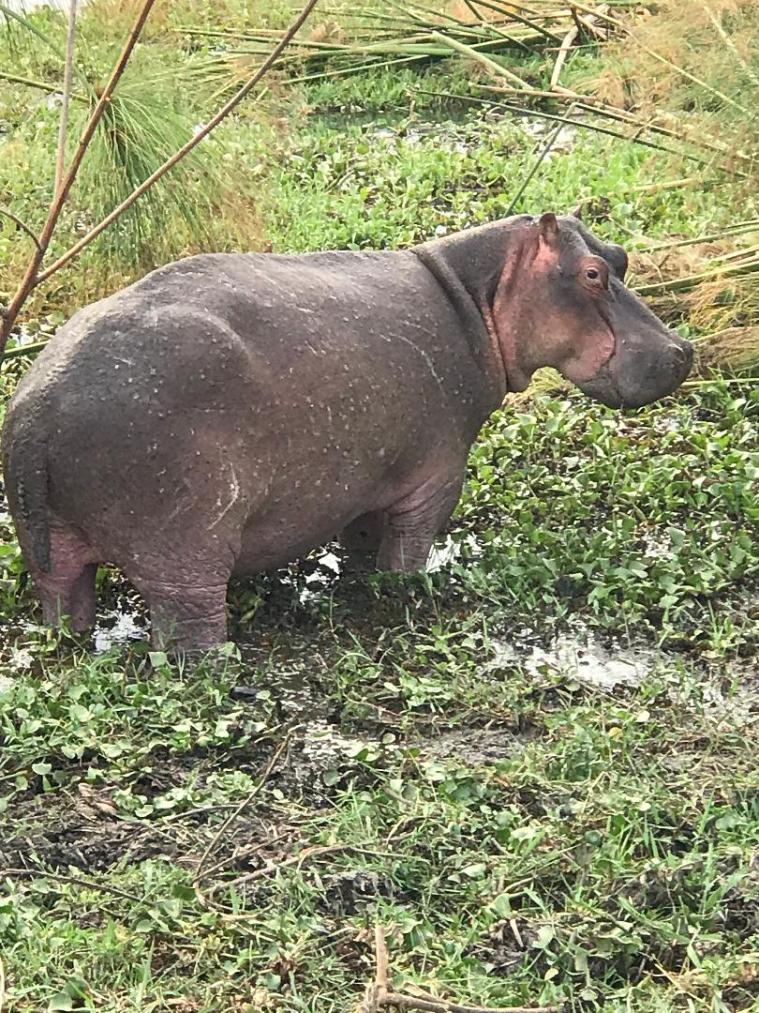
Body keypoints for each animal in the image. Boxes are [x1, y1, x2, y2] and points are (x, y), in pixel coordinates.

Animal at [2, 213, 692, 651]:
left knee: (63, 600)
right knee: (188, 630)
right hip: (184, 549)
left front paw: (365, 584)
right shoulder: (438, 473)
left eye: (622, 256)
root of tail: (36, 412)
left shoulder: (371, 475)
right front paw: (405, 589)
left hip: (48, 547)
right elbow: (409, 546)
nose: (682, 351)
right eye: (592, 273)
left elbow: (364, 543)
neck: (477, 291)